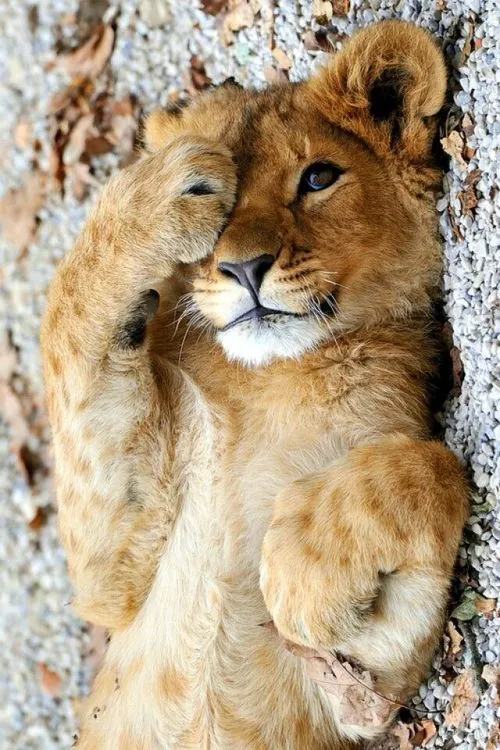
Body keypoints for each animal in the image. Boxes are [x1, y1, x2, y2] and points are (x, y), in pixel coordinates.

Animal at [40, 20, 468, 749]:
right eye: (227, 203)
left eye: (318, 177)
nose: (244, 269)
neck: (278, 378)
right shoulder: (110, 578)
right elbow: (67, 310)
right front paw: (158, 194)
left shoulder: (368, 691)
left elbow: (433, 467)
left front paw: (298, 570)